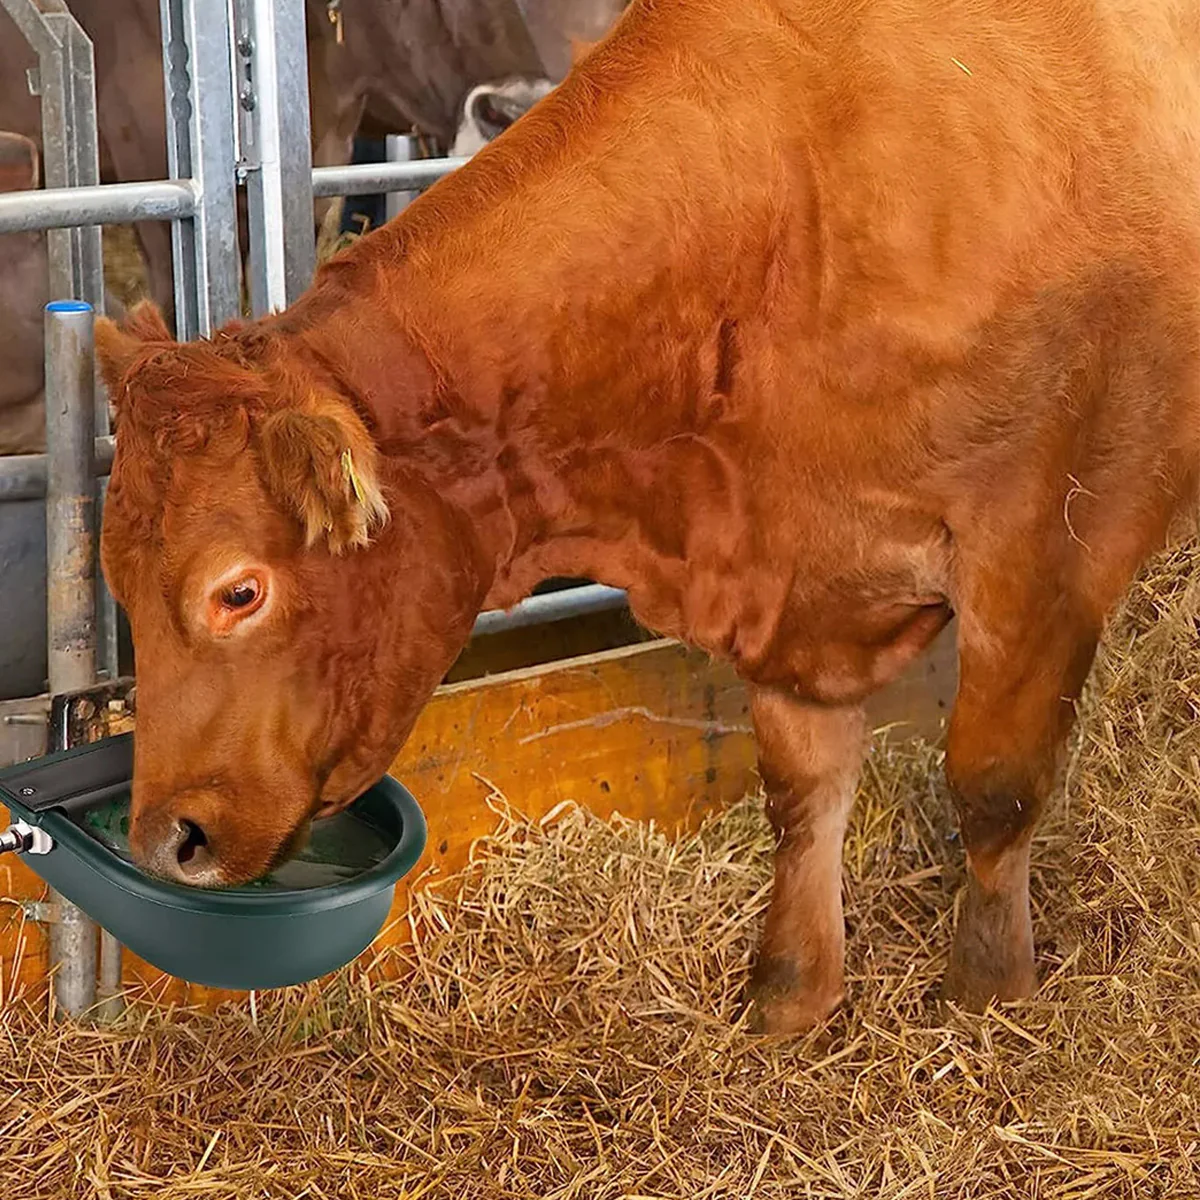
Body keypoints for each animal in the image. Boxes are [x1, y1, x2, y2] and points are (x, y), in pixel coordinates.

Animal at [92, 0, 1200, 1036]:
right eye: (119, 585)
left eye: (238, 591)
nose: (165, 842)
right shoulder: (790, 577)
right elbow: (803, 789)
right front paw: (792, 993)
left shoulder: (1041, 550)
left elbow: (994, 784)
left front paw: (988, 991)